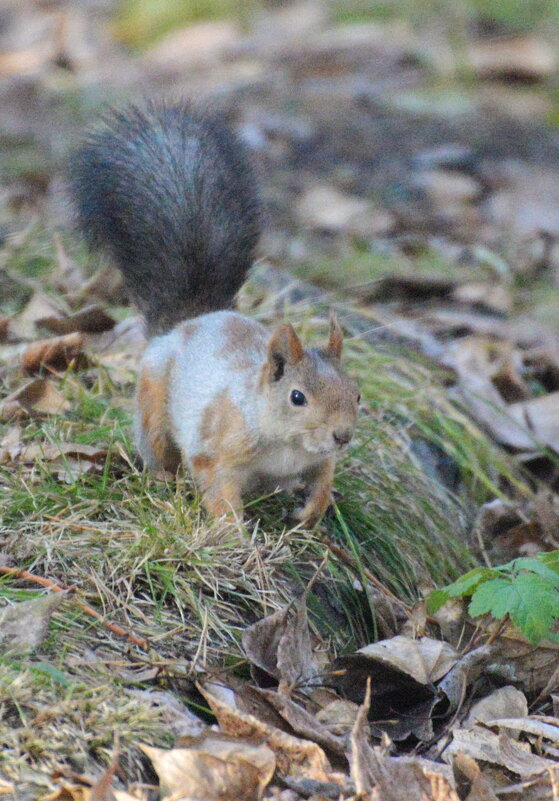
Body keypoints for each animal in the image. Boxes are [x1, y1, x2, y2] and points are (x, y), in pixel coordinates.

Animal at [69, 101, 358, 524]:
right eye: (297, 398)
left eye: (356, 394)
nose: (343, 436)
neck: (288, 445)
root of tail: (189, 321)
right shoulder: (217, 449)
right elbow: (220, 492)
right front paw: (232, 532)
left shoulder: (319, 460)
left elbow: (322, 480)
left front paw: (308, 514)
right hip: (154, 405)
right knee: (157, 448)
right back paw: (163, 480)